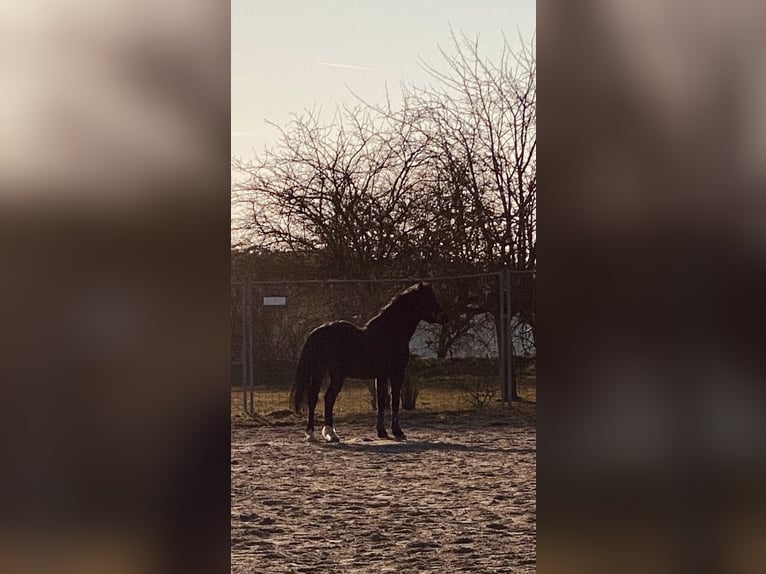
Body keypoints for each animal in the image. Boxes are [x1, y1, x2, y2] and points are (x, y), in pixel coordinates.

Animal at [290, 282, 448, 442]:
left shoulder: (381, 376)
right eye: (429, 298)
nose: (444, 317)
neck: (390, 333)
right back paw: (330, 434)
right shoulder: (397, 373)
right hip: (336, 375)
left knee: (313, 398)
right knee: (328, 398)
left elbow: (381, 401)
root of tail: (318, 332)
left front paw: (382, 432)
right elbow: (394, 401)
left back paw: (312, 434)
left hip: (319, 372)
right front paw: (398, 432)